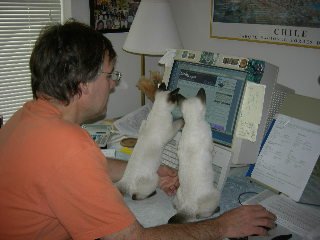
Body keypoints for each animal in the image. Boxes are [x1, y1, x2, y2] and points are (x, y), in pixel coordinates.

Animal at [170, 87, 220, 223]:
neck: (193, 123)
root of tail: (189, 206)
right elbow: (213, 150)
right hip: (216, 193)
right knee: (203, 214)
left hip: (178, 193)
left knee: (177, 208)